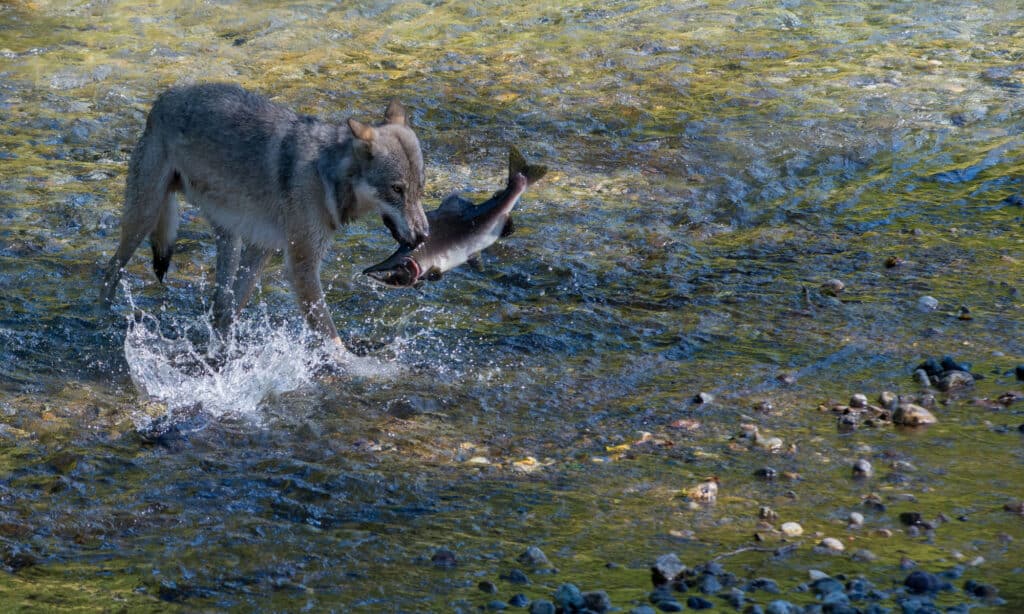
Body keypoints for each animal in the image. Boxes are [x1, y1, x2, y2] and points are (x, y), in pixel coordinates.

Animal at [97, 82, 425, 345]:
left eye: (419, 188)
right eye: (397, 190)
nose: (423, 235)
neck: (327, 176)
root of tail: (162, 99)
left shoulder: (263, 247)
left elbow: (234, 310)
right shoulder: (302, 266)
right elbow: (332, 337)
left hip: (231, 239)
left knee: (220, 306)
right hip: (144, 217)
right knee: (111, 269)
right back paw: (102, 319)